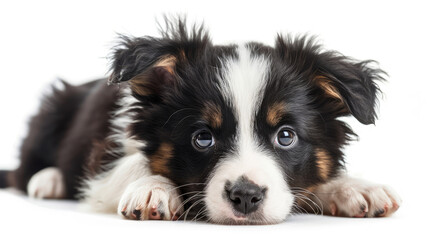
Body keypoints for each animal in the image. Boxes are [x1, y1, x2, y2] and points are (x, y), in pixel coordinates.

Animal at [0, 18, 402, 225]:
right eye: (203, 138)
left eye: (285, 136)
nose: (245, 196)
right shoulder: (104, 153)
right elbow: (133, 164)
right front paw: (154, 187)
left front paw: (352, 186)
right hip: (51, 111)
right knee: (25, 169)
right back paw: (47, 180)